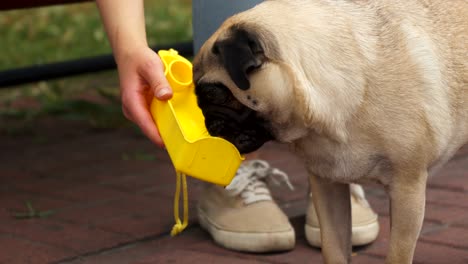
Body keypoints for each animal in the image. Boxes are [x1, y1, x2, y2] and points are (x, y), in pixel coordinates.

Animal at [192, 1, 468, 262]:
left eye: (212, 93)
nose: (204, 120)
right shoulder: (328, 186)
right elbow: (333, 249)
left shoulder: (407, 190)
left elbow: (397, 255)